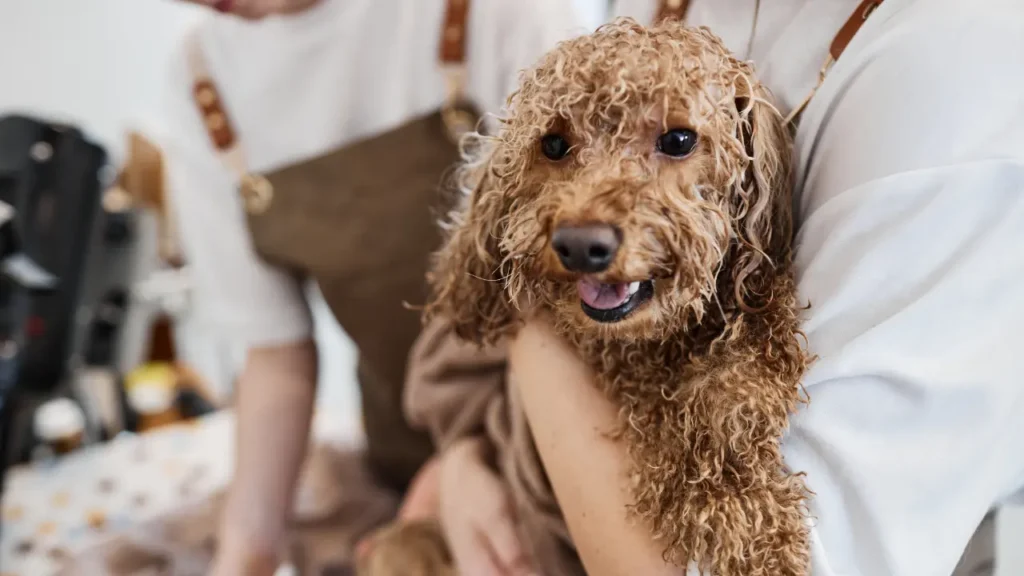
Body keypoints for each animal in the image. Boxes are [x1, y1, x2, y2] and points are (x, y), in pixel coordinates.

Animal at [364, 16, 811, 573]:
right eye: (554, 145)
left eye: (679, 138)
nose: (580, 245)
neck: (659, 343)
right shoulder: (624, 373)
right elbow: (672, 418)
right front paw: (734, 513)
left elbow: (742, 367)